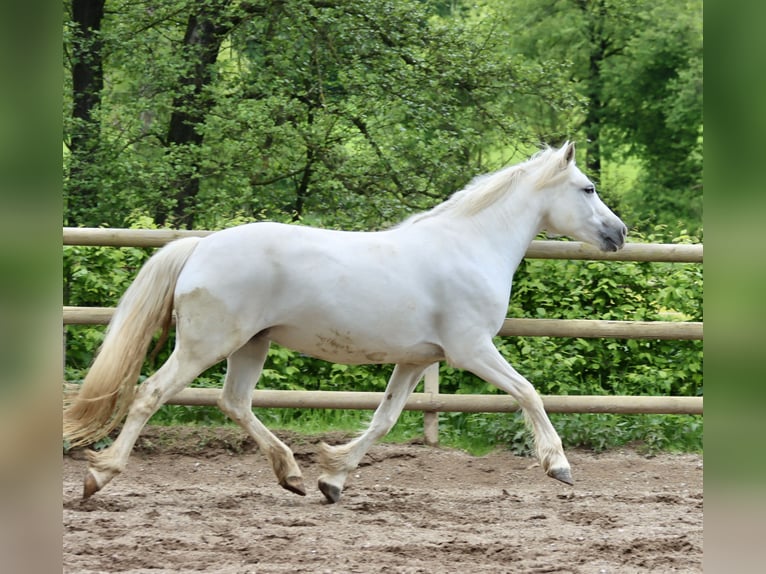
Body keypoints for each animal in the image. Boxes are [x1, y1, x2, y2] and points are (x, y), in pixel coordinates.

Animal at [66, 143, 628, 504]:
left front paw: (333, 479)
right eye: (587, 188)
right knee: (150, 394)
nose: (620, 233)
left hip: (250, 346)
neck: (470, 246)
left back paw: (292, 475)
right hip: (205, 345)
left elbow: (384, 419)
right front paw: (559, 466)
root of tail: (199, 247)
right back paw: (99, 478)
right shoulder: (472, 349)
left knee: (235, 403)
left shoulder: (415, 360)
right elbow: (528, 392)